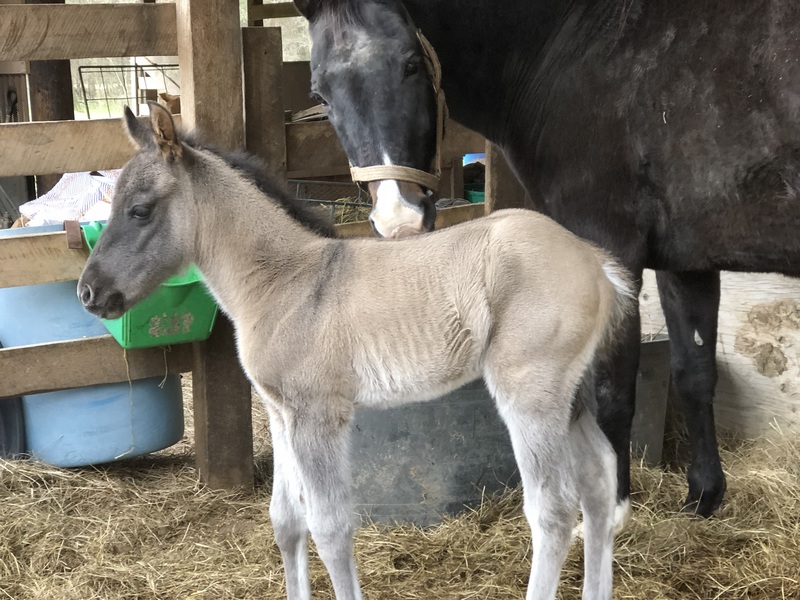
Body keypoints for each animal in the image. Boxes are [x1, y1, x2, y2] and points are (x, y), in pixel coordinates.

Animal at [296, 0, 800, 520]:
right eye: (321, 94)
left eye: (411, 64)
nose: (399, 218)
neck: (577, 43)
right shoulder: (687, 261)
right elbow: (694, 373)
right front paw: (702, 498)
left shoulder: (612, 254)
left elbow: (611, 394)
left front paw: (607, 513)